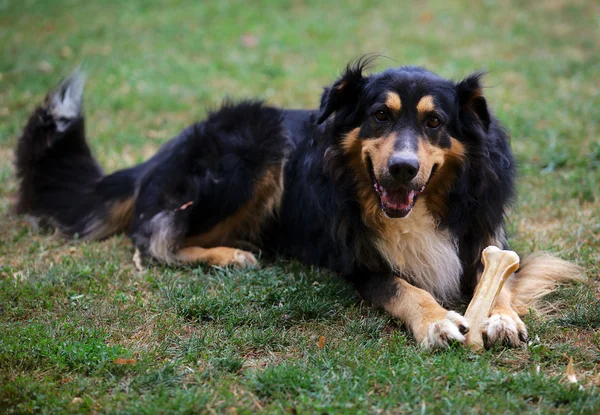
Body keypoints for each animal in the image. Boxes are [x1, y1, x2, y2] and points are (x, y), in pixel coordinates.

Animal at [16, 58, 584, 350]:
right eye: (380, 115)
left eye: (434, 122)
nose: (402, 169)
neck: (423, 208)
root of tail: (161, 152)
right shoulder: (358, 263)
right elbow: (403, 287)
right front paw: (437, 321)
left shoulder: (485, 233)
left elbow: (501, 273)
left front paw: (501, 317)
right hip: (252, 150)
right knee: (152, 236)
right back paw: (229, 256)